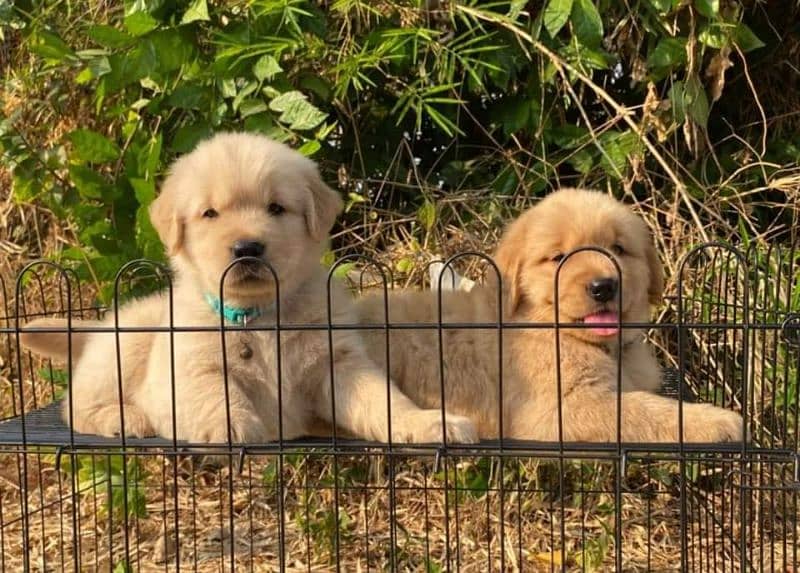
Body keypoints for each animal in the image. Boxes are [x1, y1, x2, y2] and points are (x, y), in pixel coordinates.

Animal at [21, 132, 478, 444]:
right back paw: (125, 417)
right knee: (74, 405)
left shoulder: (339, 362)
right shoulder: (189, 364)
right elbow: (216, 390)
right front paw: (232, 424)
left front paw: (429, 422)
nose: (247, 248)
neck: (257, 316)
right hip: (127, 345)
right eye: (210, 213)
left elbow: (383, 399)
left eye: (276, 207)